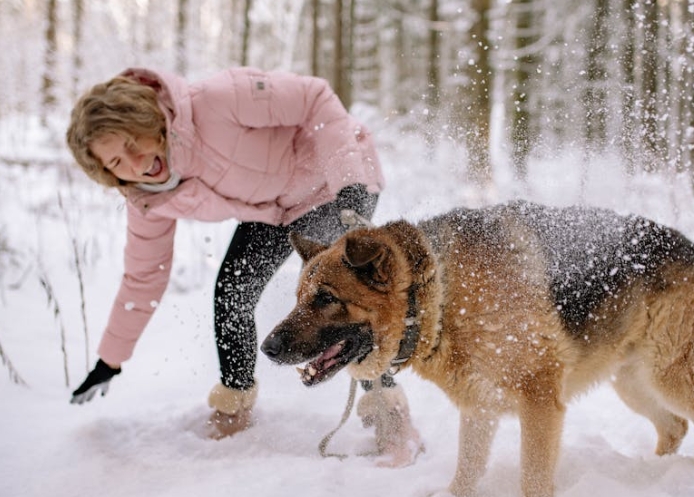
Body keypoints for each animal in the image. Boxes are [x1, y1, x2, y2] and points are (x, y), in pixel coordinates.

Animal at [260, 201, 694, 496]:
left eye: (325, 298)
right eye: (299, 298)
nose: (267, 347)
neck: (436, 293)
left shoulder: (539, 402)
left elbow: (533, 478)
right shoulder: (479, 407)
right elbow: (466, 470)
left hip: (668, 378)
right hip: (635, 383)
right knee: (674, 426)